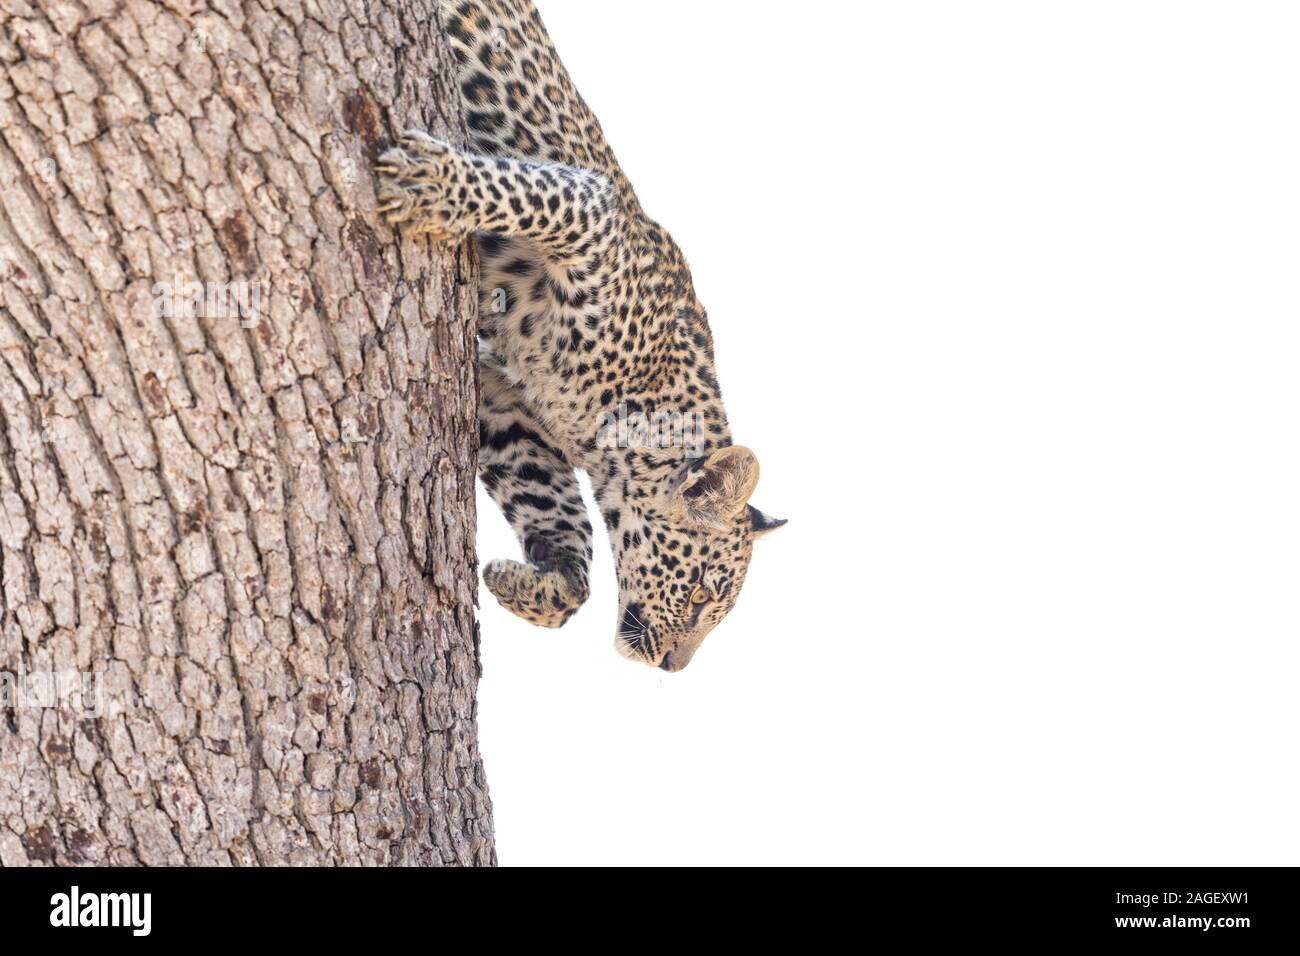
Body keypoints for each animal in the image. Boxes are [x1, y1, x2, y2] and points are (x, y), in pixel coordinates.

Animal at [375, 0, 785, 671]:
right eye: (700, 593)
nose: (674, 666)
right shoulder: (591, 211)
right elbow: (522, 193)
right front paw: (428, 183)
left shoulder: (502, 398)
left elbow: (560, 520)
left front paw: (529, 582)